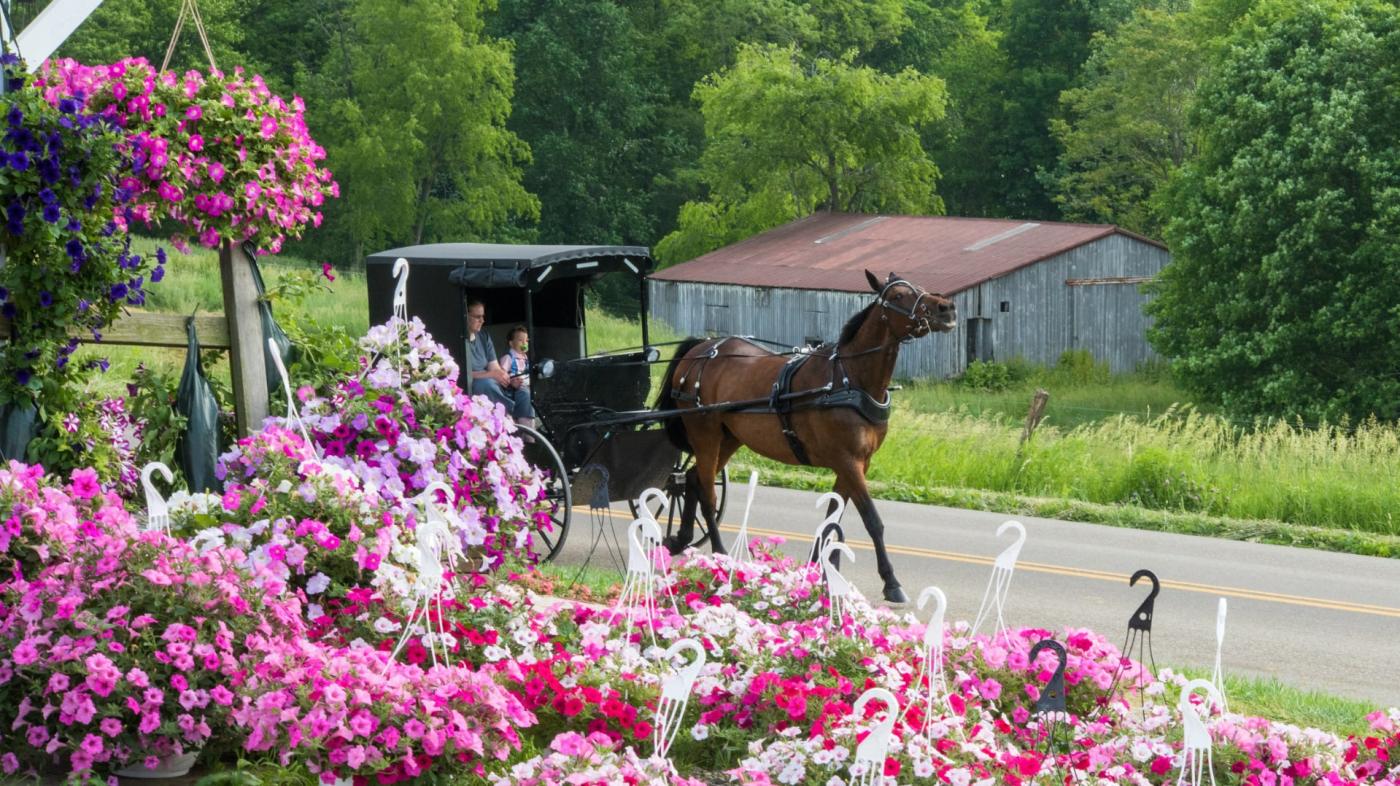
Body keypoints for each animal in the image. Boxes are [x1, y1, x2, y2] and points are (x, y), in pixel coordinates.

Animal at [652, 269, 957, 599]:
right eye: (899, 295)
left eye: (921, 287)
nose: (947, 308)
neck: (850, 380)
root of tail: (701, 349)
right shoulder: (846, 460)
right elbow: (872, 520)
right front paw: (891, 582)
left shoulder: (858, 463)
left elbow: (832, 518)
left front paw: (817, 571)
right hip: (704, 433)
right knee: (707, 494)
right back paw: (721, 557)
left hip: (729, 437)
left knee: (692, 479)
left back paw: (682, 537)